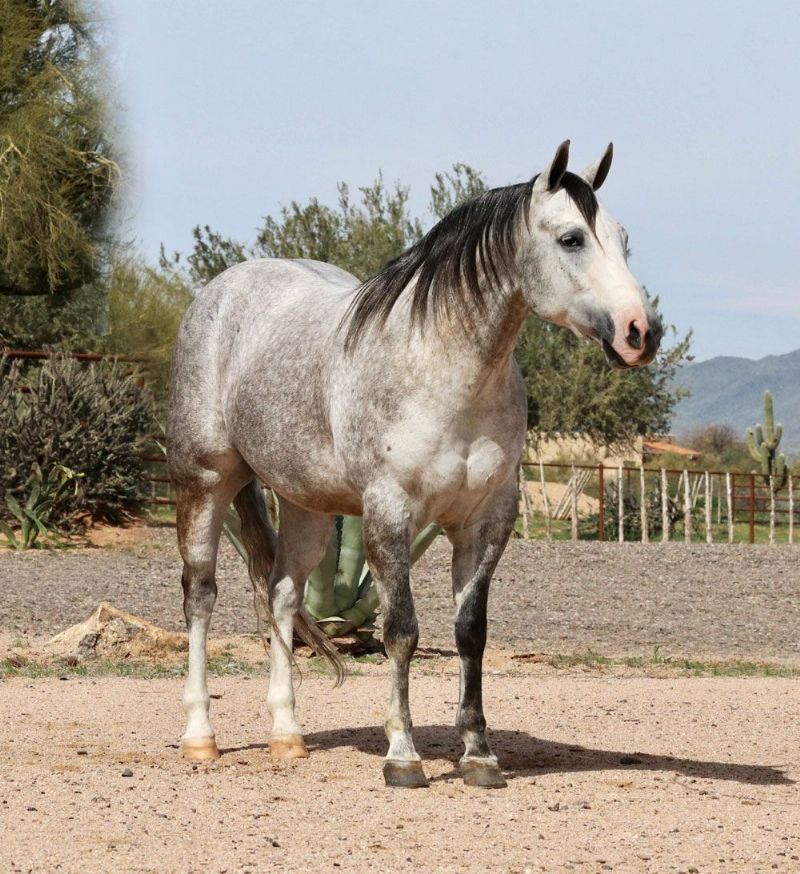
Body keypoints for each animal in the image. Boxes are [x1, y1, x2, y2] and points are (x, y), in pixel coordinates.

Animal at [167, 140, 662, 788]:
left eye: (625, 239)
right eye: (571, 238)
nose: (641, 332)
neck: (443, 370)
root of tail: (220, 292)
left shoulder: (485, 523)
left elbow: (470, 634)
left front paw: (479, 755)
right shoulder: (389, 515)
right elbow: (400, 631)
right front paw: (402, 755)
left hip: (305, 506)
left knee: (282, 596)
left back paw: (287, 736)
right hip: (205, 482)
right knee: (200, 595)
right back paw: (200, 737)